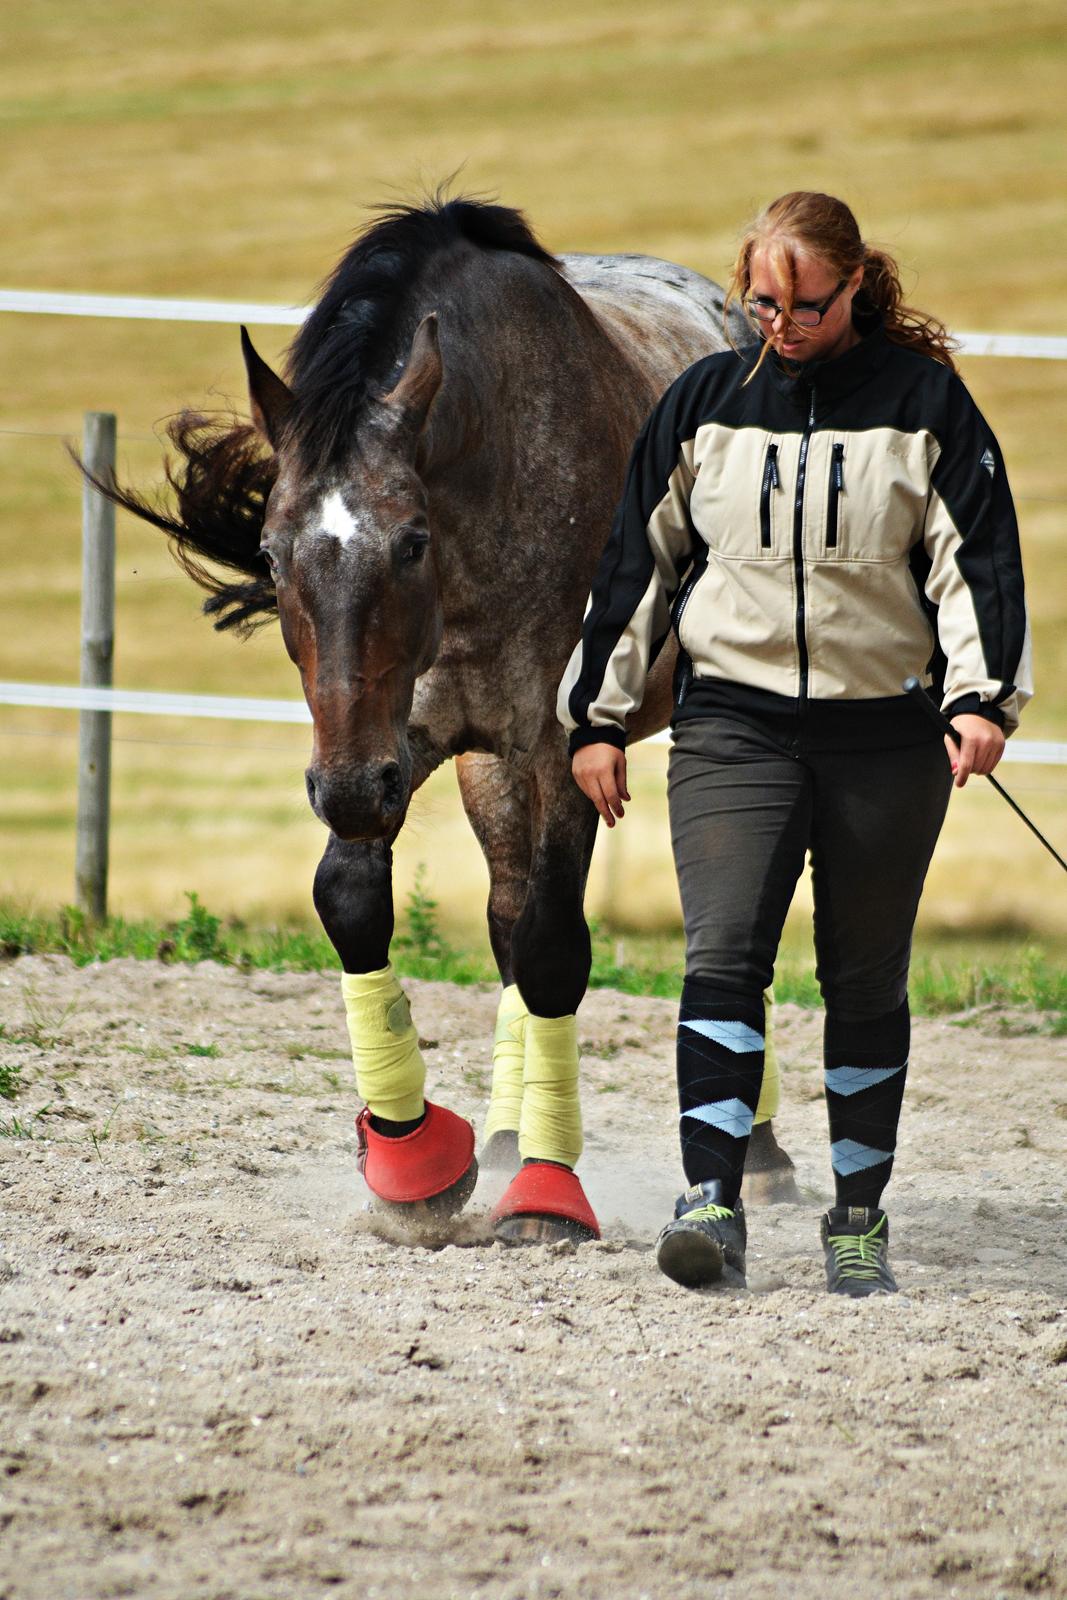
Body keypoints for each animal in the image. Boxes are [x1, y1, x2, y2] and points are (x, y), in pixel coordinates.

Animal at [97, 196, 799, 1235]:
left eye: (411, 540)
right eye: (269, 551)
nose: (347, 787)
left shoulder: (558, 746)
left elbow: (554, 945)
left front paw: (546, 1192)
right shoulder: (402, 743)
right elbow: (361, 902)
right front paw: (417, 1163)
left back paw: (758, 1151)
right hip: (480, 764)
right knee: (506, 910)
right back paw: (507, 1132)